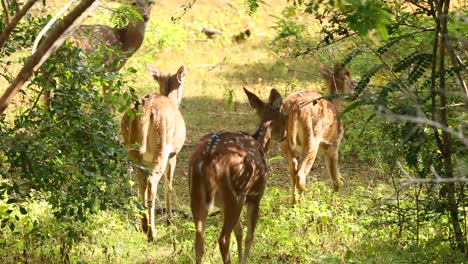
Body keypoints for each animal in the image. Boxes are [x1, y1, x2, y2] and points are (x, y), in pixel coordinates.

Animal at [120, 64, 186, 241]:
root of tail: (145, 112)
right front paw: (170, 219)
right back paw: (152, 232)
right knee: (152, 182)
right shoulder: (174, 154)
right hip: (161, 150)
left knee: (140, 181)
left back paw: (143, 225)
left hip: (132, 149)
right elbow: (169, 185)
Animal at [188, 87, 284, 262]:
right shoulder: (255, 196)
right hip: (236, 194)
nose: (284, 135)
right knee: (223, 239)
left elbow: (239, 231)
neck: (261, 143)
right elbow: (249, 235)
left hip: (196, 194)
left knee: (199, 239)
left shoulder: (222, 204)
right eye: (285, 116)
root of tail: (207, 159)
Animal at [280, 63, 356, 203]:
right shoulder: (333, 145)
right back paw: (302, 204)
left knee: (293, 171)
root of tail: (294, 108)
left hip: (285, 142)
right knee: (300, 174)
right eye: (348, 77)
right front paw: (336, 201)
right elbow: (336, 179)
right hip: (312, 138)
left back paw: (293, 203)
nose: (356, 86)